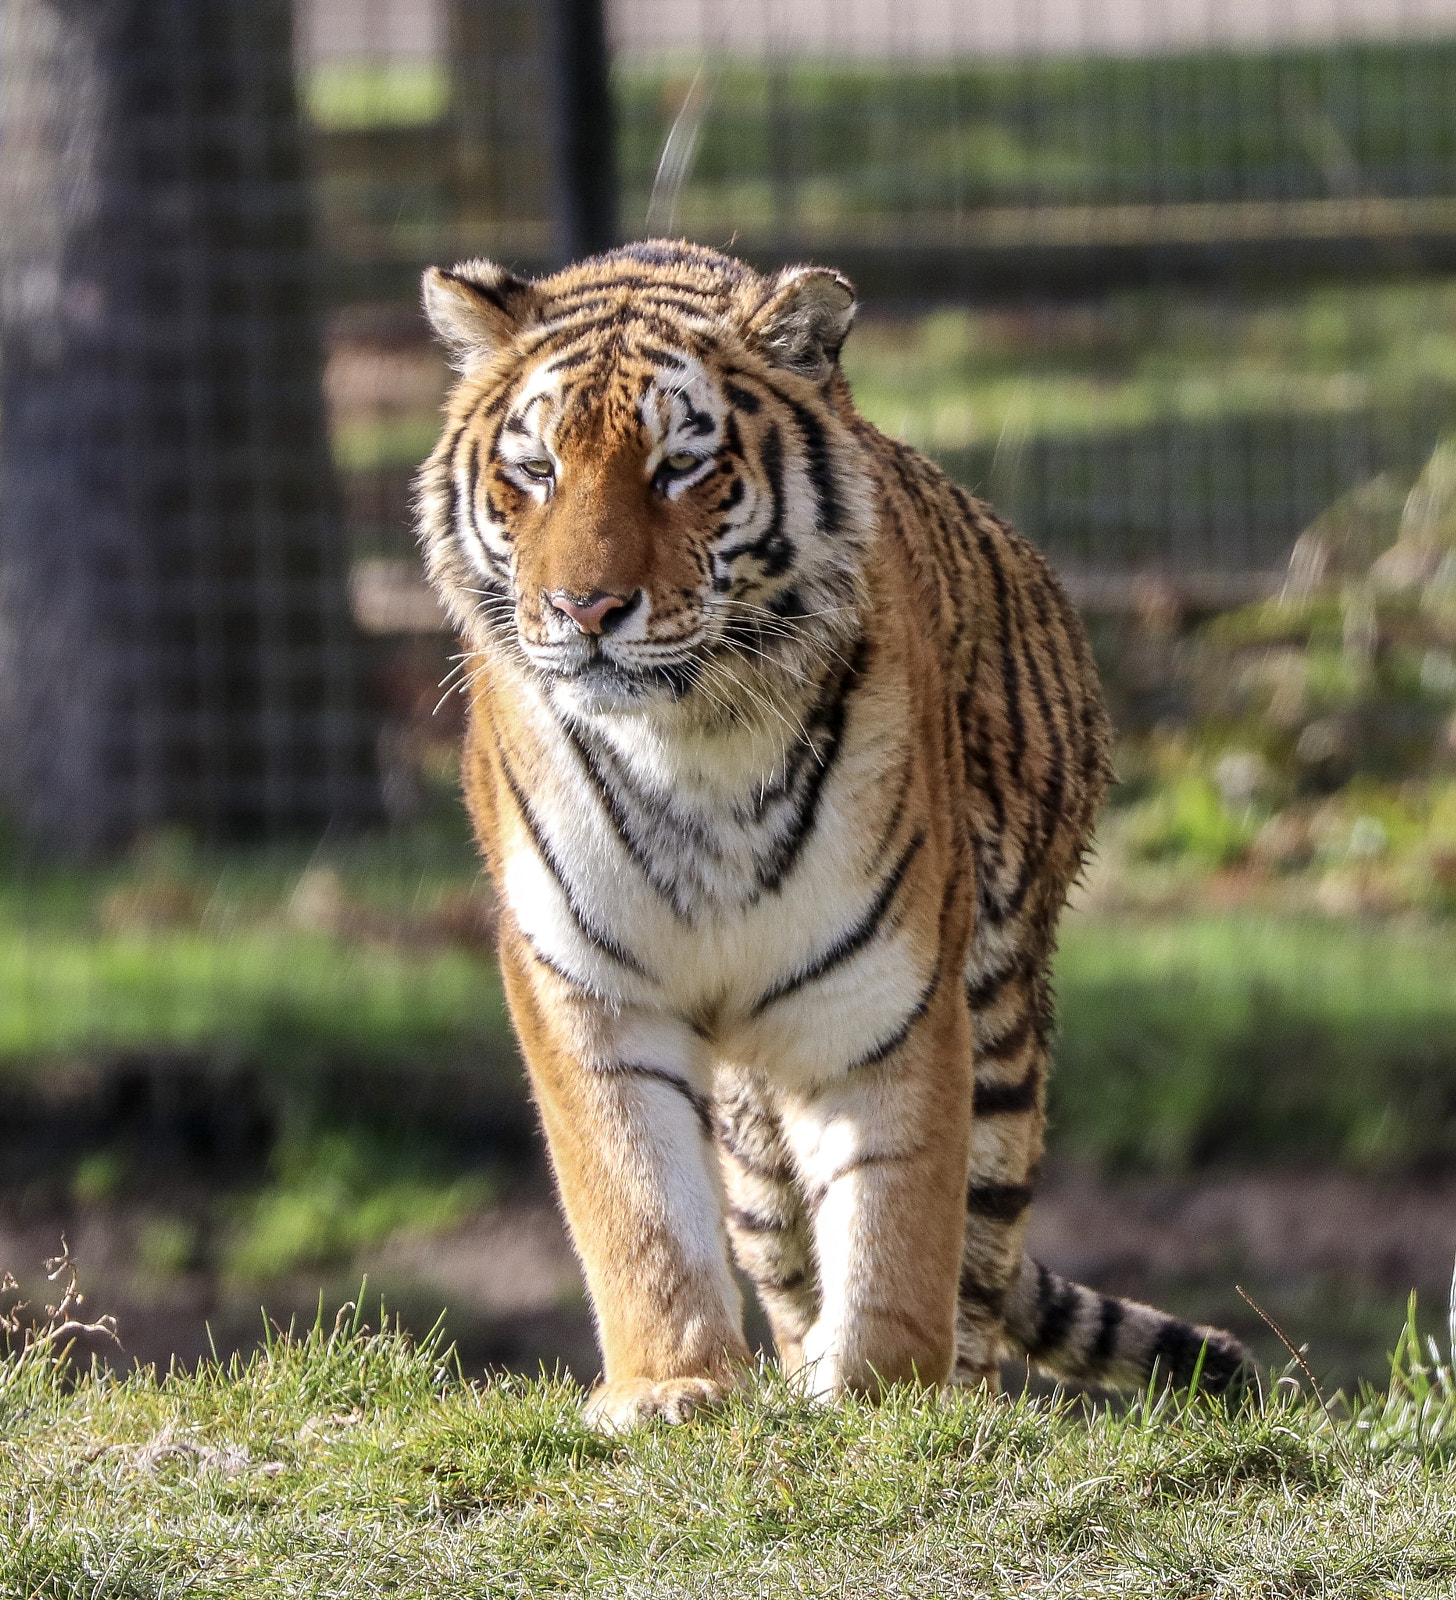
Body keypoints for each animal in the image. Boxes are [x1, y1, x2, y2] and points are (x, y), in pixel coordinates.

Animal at [416, 239, 1250, 1428]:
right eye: (533, 471)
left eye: (680, 467)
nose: (585, 610)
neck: (690, 742)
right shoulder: (584, 984)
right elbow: (636, 1205)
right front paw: (668, 1384)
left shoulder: (886, 990)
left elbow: (897, 1211)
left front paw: (884, 1394)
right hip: (753, 1127)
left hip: (1000, 1024)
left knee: (981, 1251)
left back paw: (948, 1389)